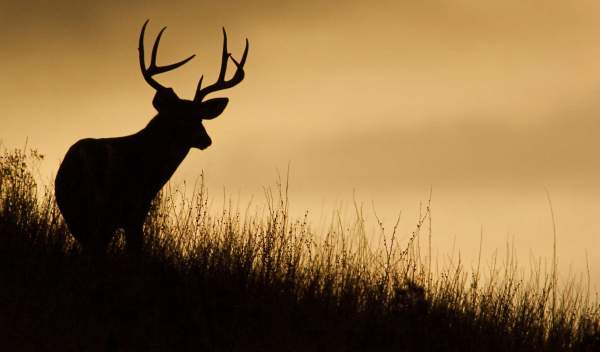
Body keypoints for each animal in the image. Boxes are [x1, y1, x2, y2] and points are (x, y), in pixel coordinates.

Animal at [53, 21, 246, 258]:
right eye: (180, 117)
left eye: (200, 117)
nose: (205, 139)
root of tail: (80, 159)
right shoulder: (136, 212)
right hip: (102, 209)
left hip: (76, 213)